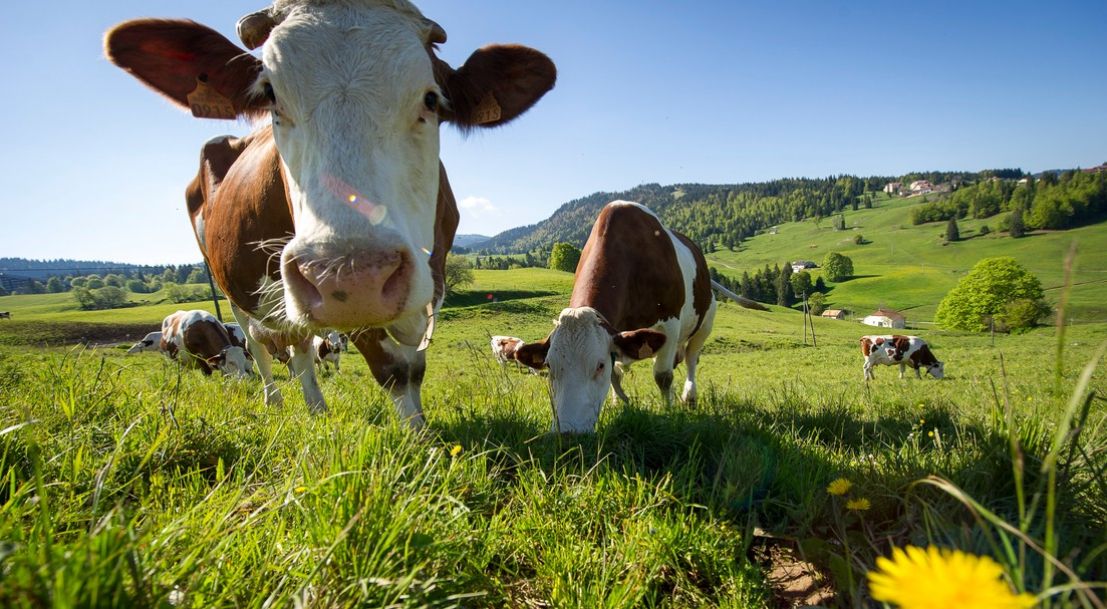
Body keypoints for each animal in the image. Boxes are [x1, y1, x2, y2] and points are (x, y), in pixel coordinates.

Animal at [105, 1, 555, 425]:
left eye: (432, 98)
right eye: (269, 95)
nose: (350, 277)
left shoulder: (432, 278)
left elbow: (414, 367)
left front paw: (422, 426)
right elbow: (392, 370)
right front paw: (420, 440)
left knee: (298, 344)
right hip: (233, 290)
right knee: (263, 346)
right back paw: (283, 401)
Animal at [513, 201, 717, 433]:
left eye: (599, 365)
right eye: (549, 365)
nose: (568, 432)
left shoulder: (669, 324)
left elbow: (663, 376)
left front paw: (668, 412)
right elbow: (616, 376)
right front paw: (618, 405)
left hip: (705, 323)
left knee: (692, 358)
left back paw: (689, 397)